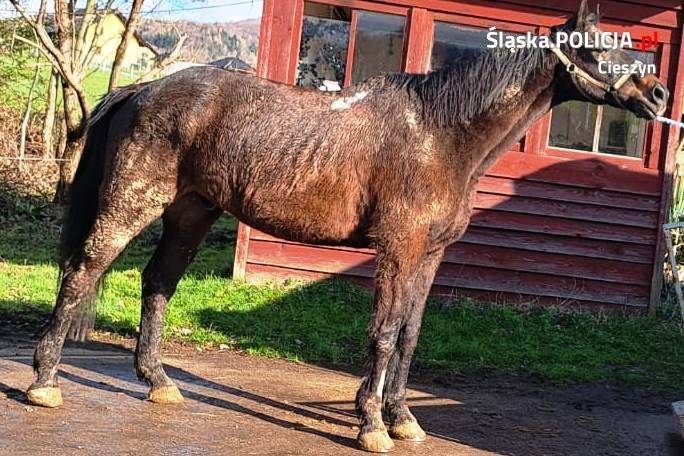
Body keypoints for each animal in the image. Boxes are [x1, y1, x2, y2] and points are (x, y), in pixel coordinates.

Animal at [28, 1, 668, 452]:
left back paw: (159, 382)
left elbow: (409, 335)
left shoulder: (430, 256)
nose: (659, 94)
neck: (441, 132)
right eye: (596, 45)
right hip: (131, 204)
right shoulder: (399, 249)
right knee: (82, 271)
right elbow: (383, 334)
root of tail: (143, 88)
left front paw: (404, 420)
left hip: (191, 213)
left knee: (157, 283)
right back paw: (45, 383)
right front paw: (371, 425)